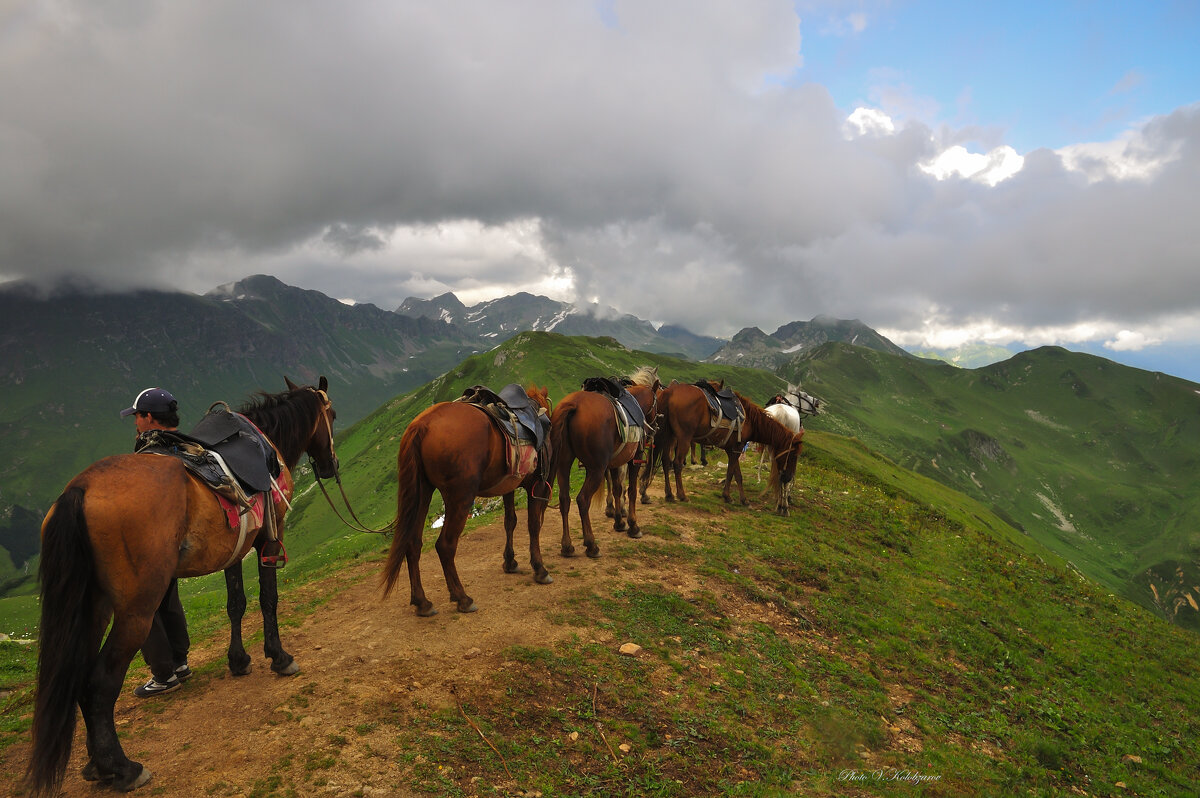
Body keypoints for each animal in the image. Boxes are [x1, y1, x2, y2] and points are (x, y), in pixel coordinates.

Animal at [24, 376, 343, 792]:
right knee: (99, 684)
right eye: (332, 415)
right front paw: (279, 657)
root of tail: (80, 489)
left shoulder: (236, 548)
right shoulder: (269, 540)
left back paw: (97, 764)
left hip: (93, 608)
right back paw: (123, 768)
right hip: (136, 611)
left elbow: (236, 603)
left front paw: (239, 661)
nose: (330, 466)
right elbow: (268, 599)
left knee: (80, 678)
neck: (265, 443)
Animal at [381, 384, 554, 614]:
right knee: (445, 546)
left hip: (422, 493)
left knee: (413, 543)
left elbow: (510, 522)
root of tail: (421, 425)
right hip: (460, 497)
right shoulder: (537, 484)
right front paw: (540, 569)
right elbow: (533, 525)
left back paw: (422, 602)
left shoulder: (508, 486)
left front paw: (510, 562)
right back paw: (462, 598)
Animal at [549, 364, 662, 556]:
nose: (654, 428)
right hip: (596, 469)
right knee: (582, 500)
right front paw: (633, 526)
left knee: (564, 499)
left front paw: (619, 522)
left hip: (563, 464)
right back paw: (591, 545)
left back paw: (567, 546)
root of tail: (573, 405)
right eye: (656, 401)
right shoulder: (634, 459)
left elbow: (617, 489)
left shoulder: (616, 463)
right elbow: (631, 490)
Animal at [643, 384, 801, 513]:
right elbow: (731, 473)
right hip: (684, 438)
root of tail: (670, 392)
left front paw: (744, 500)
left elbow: (737, 475)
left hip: (668, 436)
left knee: (665, 462)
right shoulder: (737, 449)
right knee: (676, 463)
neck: (750, 420)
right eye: (793, 455)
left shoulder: (732, 449)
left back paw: (669, 494)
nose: (788, 477)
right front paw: (728, 496)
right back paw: (682, 495)